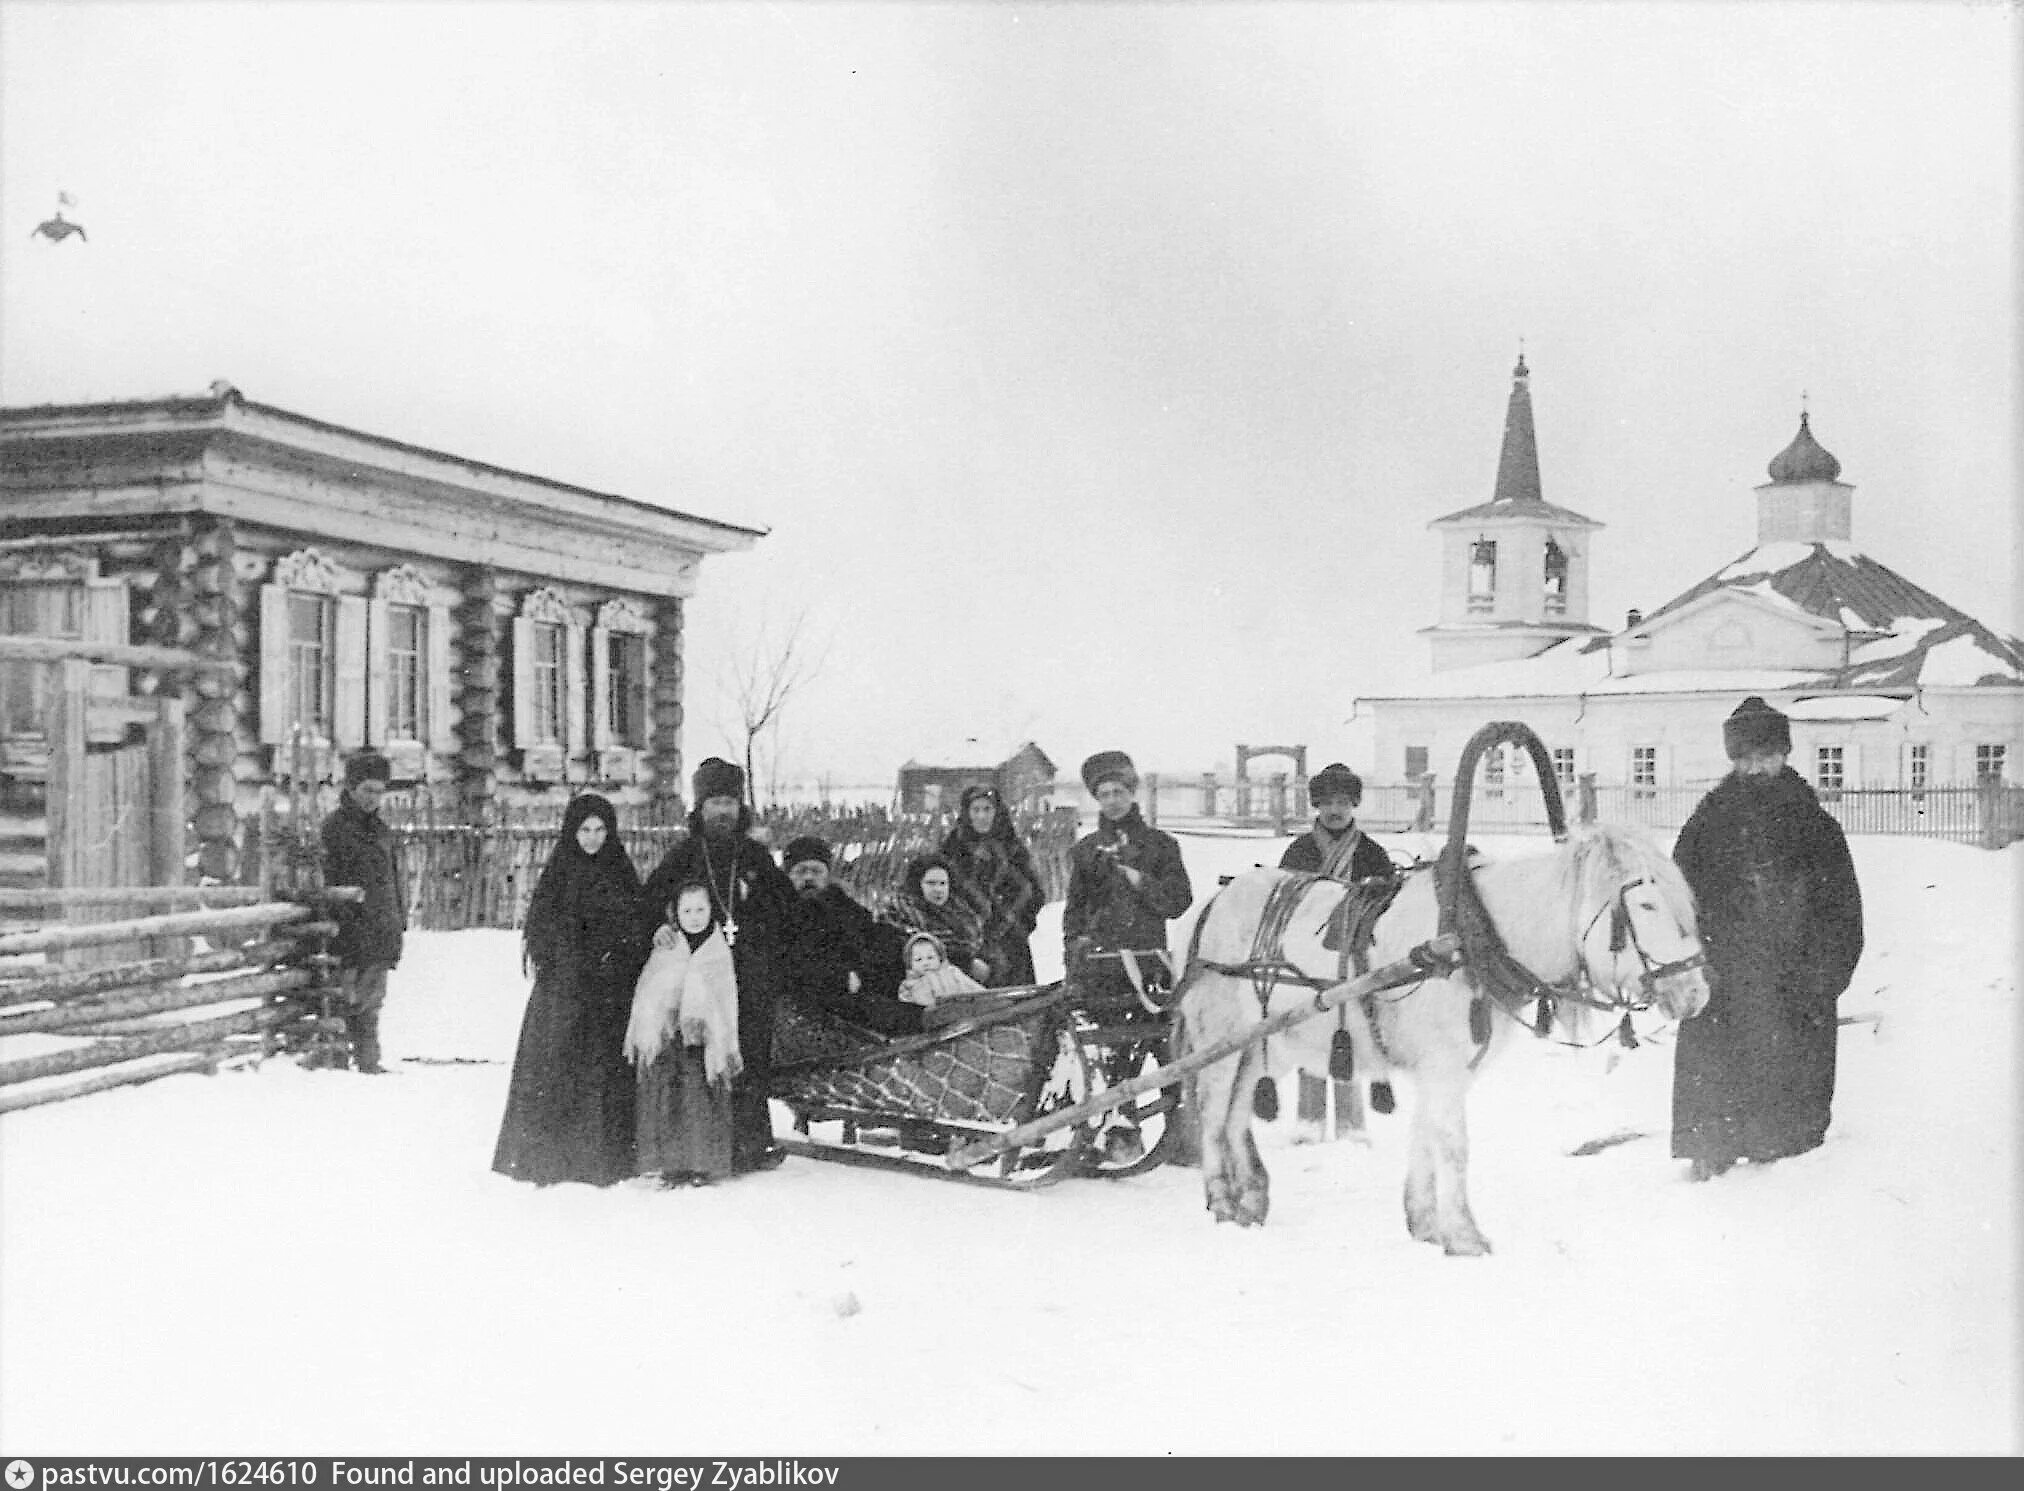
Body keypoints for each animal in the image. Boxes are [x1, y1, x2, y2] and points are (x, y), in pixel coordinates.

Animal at [1173, 821, 1708, 1254]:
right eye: (1646, 904)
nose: (1696, 993)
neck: (1464, 941)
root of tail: (1211, 906)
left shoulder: (1443, 1070)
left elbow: (1426, 1135)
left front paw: (1425, 1223)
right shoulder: (1443, 1066)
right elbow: (1453, 1144)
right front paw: (1465, 1236)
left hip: (1263, 1047)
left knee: (1236, 1114)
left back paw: (1251, 1199)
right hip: (1221, 1039)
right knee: (1213, 1112)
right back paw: (1222, 1202)